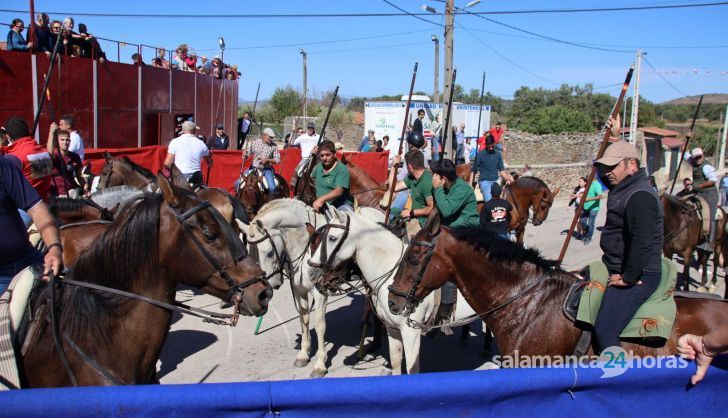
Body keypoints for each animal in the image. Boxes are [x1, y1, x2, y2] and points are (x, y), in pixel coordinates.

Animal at [308, 209, 478, 376]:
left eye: (332, 238)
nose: (312, 272)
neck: (391, 274)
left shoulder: (411, 333)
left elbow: (411, 369)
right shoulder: (392, 329)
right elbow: (396, 361)